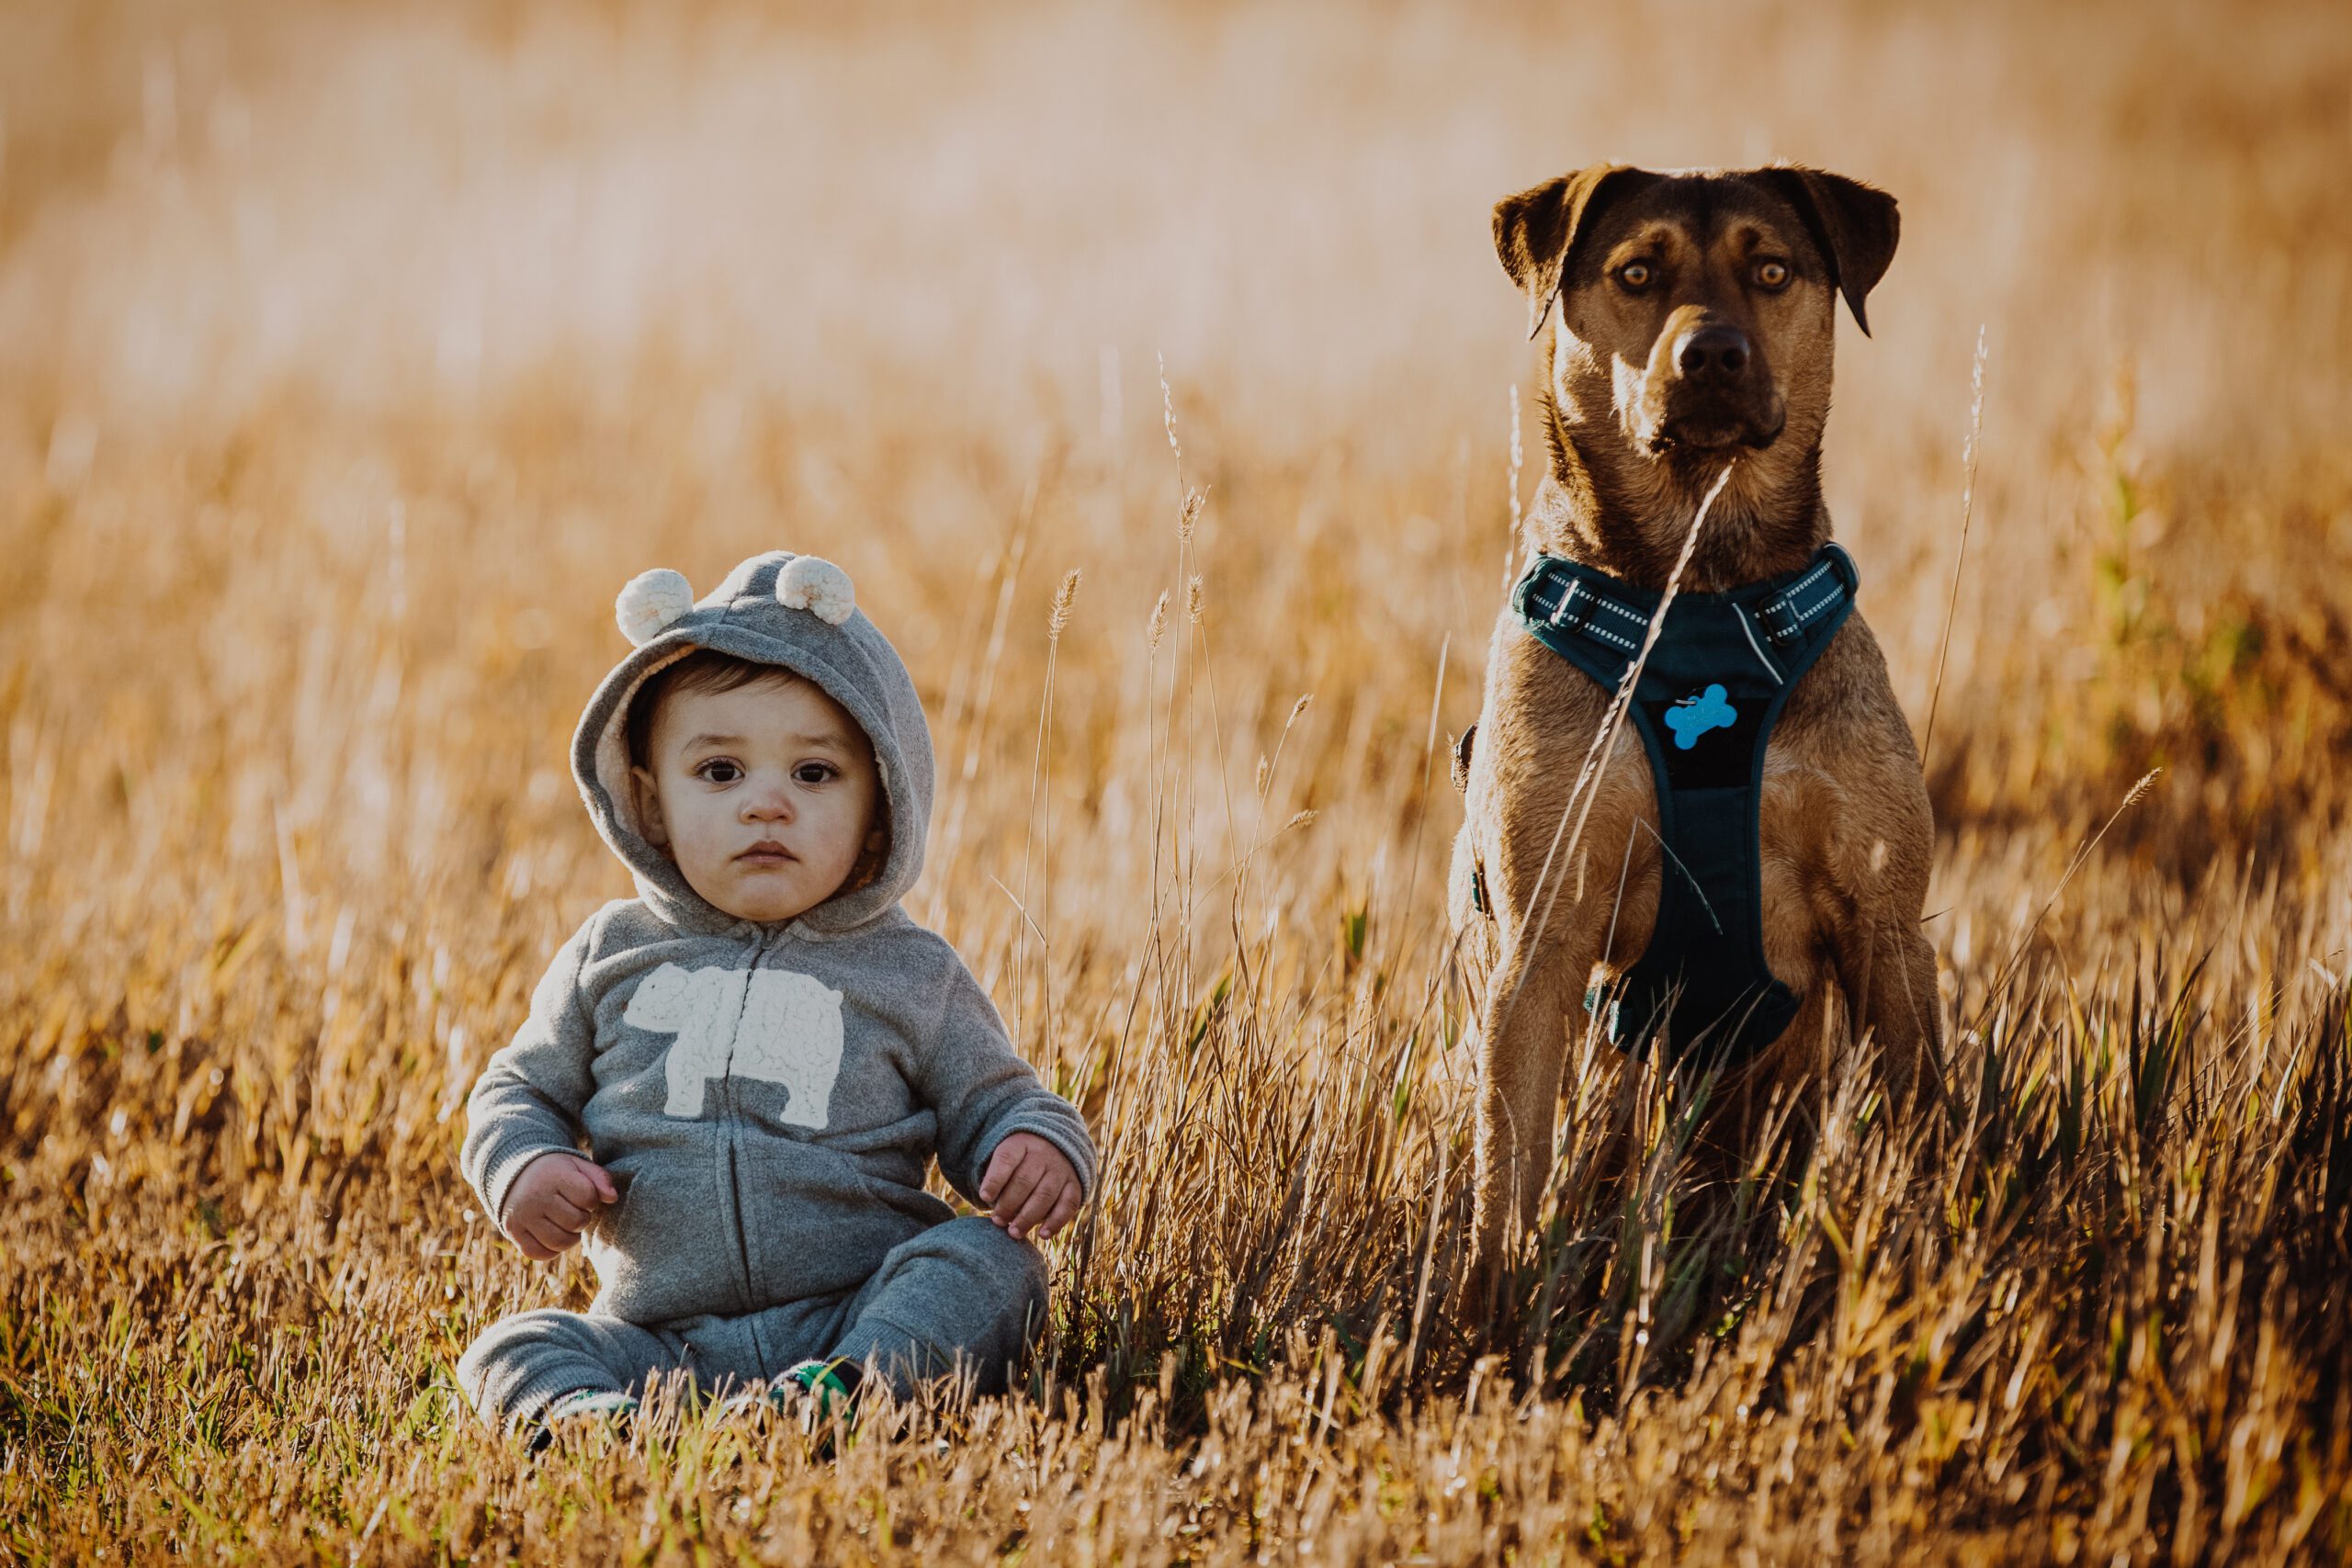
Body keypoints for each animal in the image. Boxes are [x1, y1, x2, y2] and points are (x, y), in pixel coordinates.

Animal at [1448, 162, 1947, 1288]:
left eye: (1772, 270)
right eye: (1638, 272)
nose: (1712, 354)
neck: (1701, 580)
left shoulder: (1884, 924)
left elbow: (1922, 1125)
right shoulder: (1541, 937)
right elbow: (1507, 1175)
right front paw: (1489, 1307)